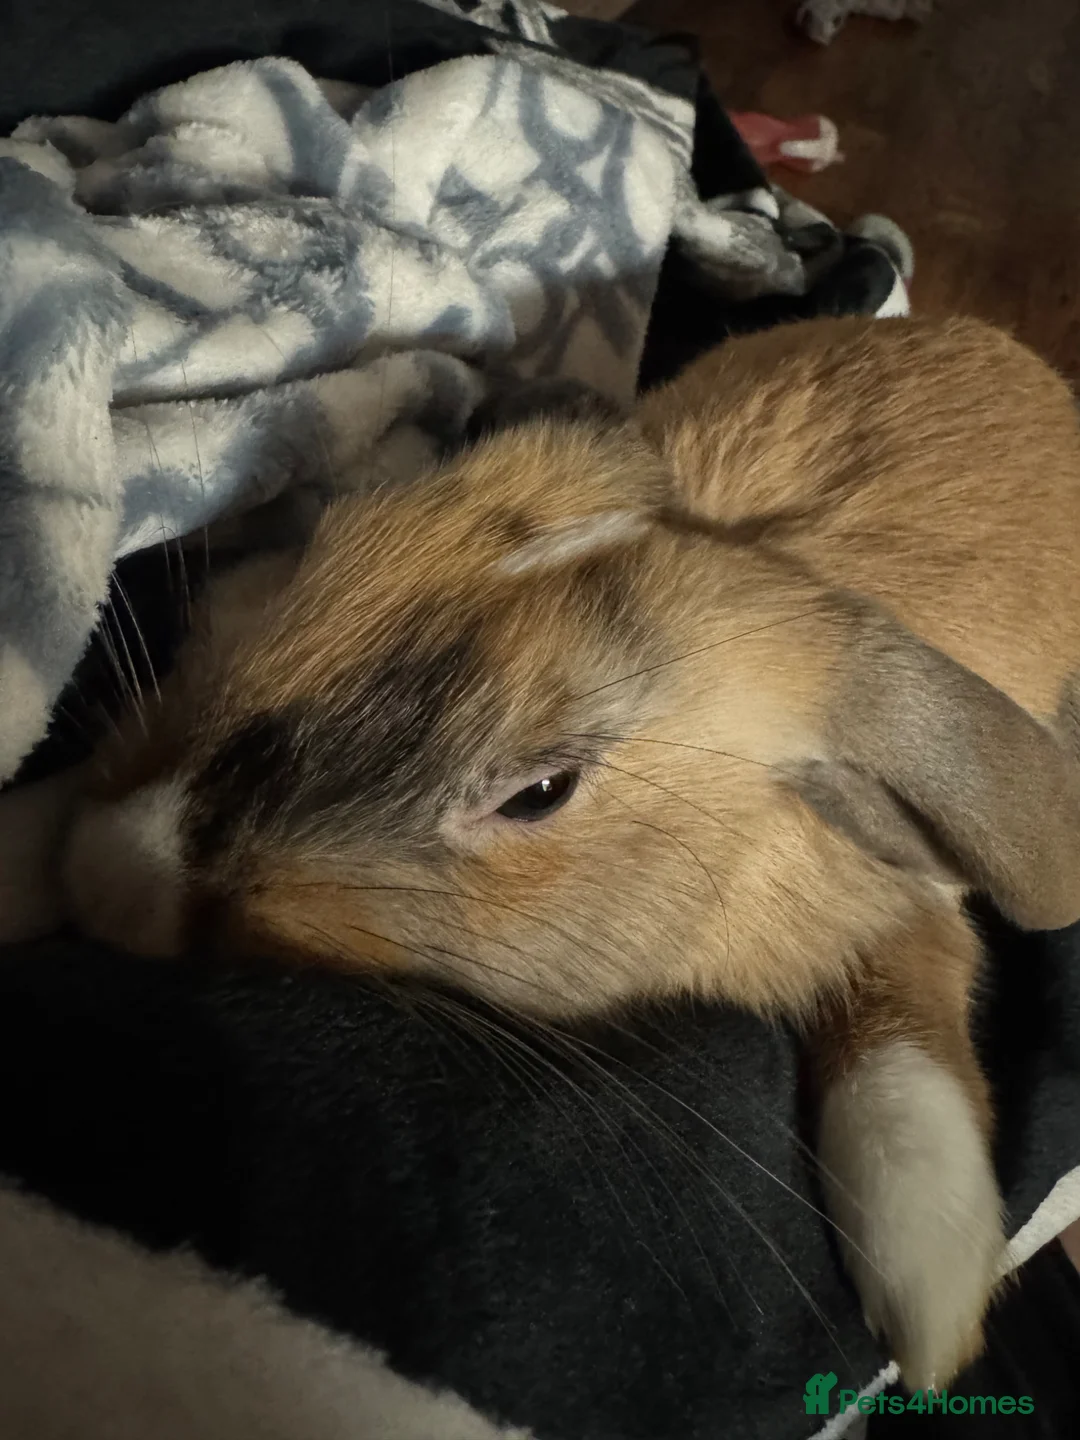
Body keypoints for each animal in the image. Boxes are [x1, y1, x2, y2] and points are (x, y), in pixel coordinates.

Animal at [21, 313, 1080, 1392]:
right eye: (315, 552)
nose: (118, 871)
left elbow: (912, 993)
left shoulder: (896, 904)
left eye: (540, 793)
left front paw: (931, 1283)